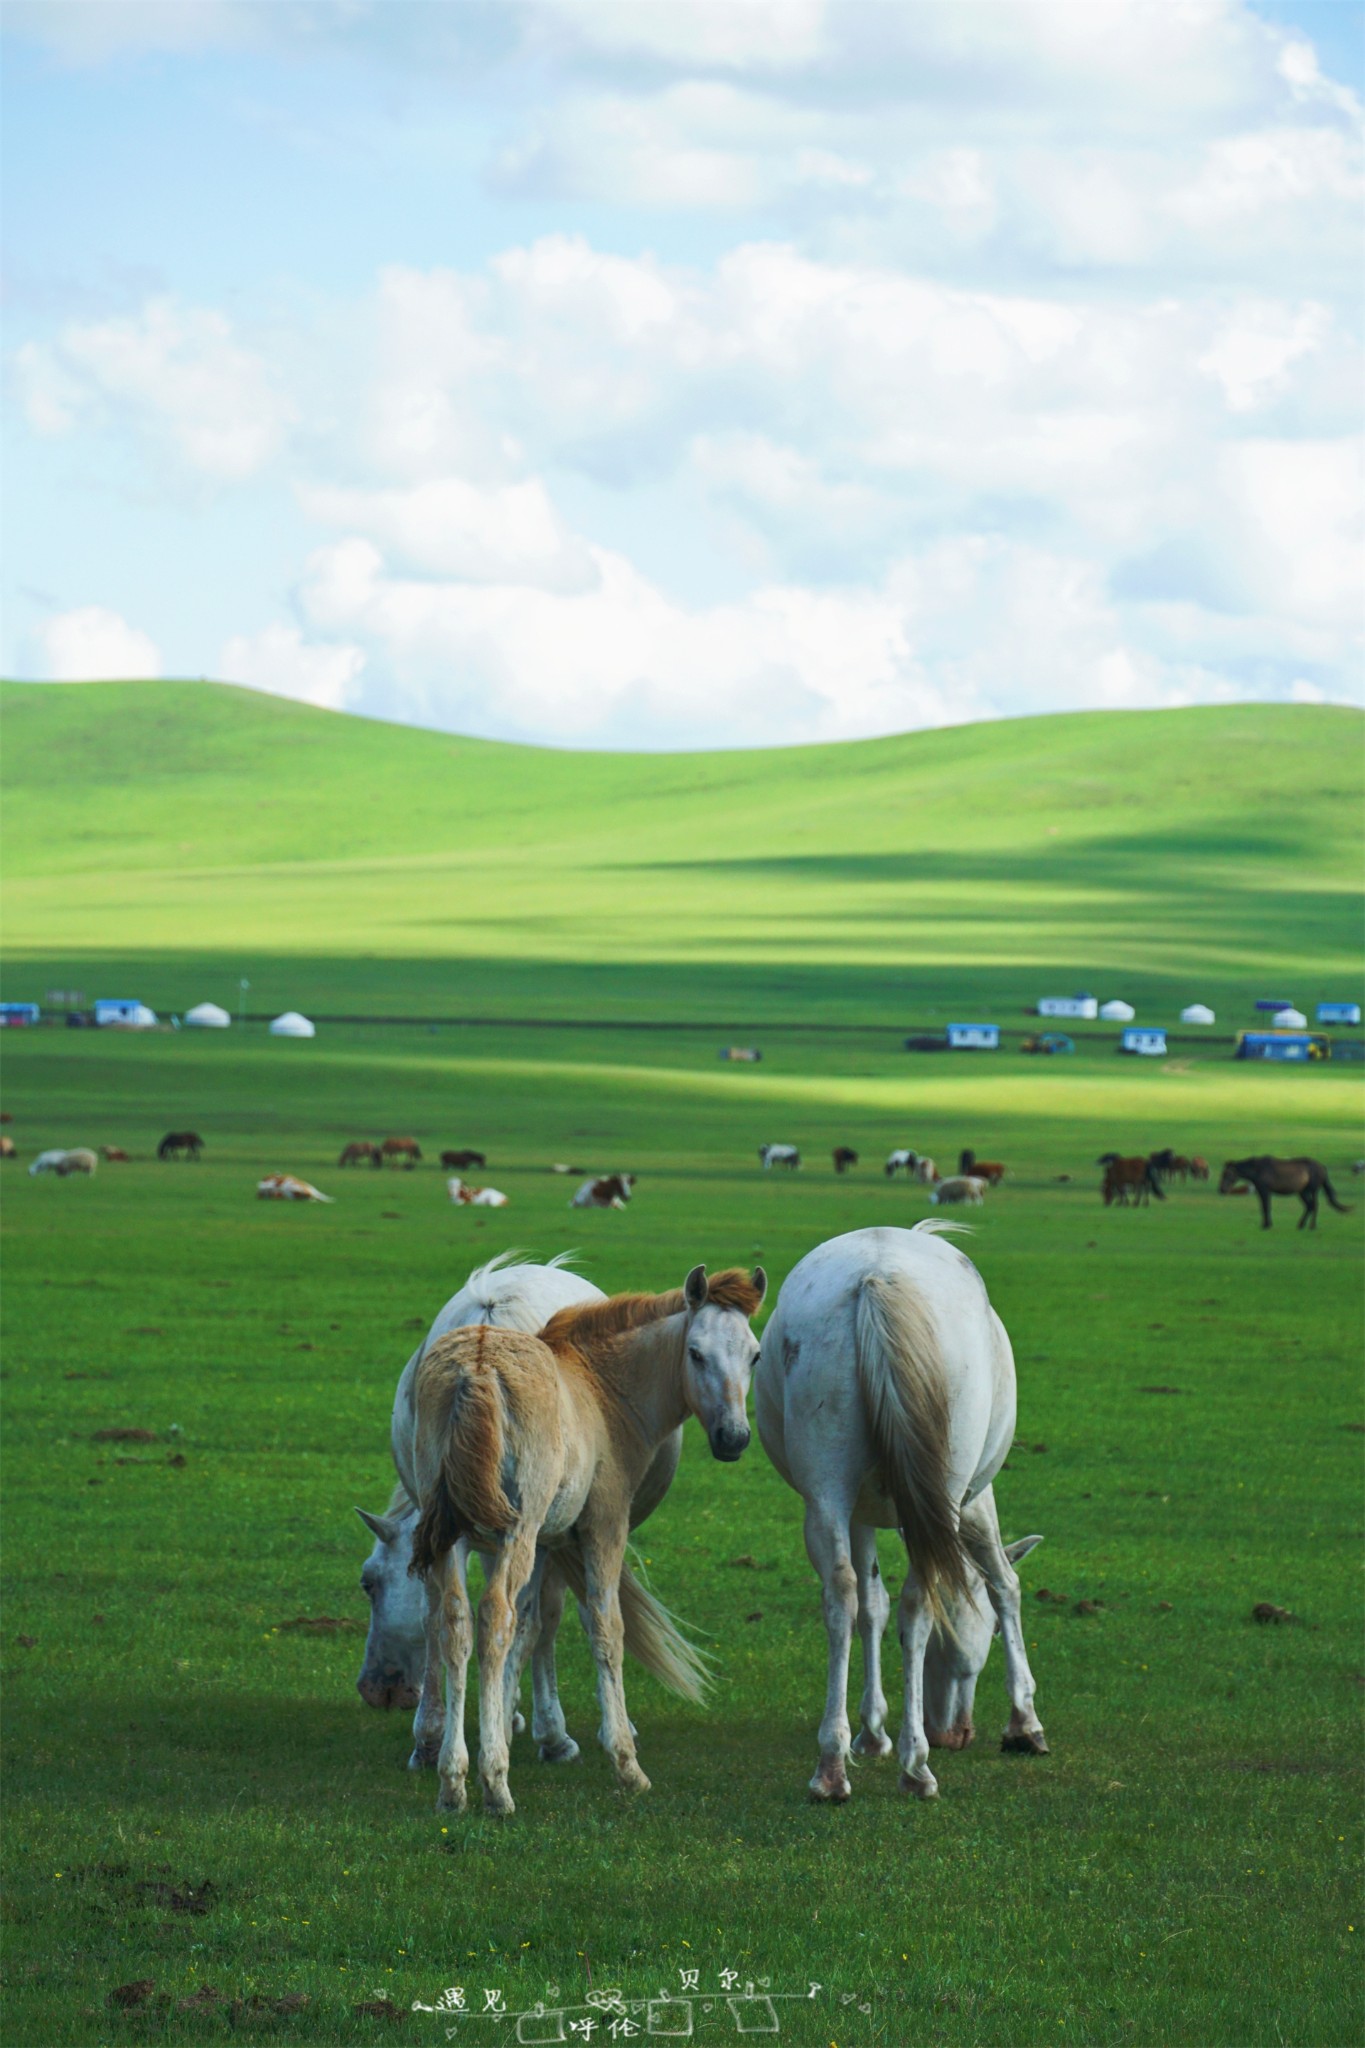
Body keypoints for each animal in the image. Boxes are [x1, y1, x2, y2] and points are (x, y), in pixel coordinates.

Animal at [753, 1220, 1055, 1802]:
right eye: (984, 1634)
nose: (950, 1734)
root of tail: (877, 1277)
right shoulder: (973, 1503)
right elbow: (1004, 1586)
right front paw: (1025, 1723)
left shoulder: (861, 1511)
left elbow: (872, 1605)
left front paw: (871, 1732)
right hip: (950, 1485)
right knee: (919, 1601)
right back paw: (916, 1766)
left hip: (826, 1487)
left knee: (841, 1594)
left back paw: (833, 1766)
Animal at [1219, 1155, 1350, 1228]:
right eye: (1223, 1173)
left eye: (1228, 1173)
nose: (1221, 1189)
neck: (1258, 1169)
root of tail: (1322, 1166)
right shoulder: (1261, 1191)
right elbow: (1263, 1207)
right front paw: (1265, 1224)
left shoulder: (1265, 1191)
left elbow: (1266, 1207)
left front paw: (1267, 1225)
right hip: (1302, 1192)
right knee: (1309, 1206)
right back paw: (1301, 1225)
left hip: (1313, 1190)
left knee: (1314, 1205)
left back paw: (1312, 1226)